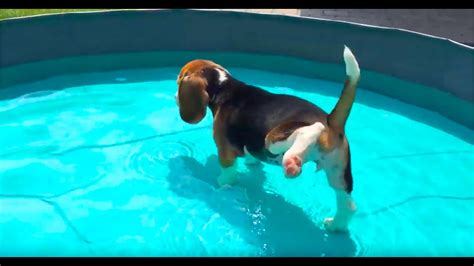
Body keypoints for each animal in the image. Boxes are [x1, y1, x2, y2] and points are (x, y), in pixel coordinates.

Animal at [176, 45, 362, 231]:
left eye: (178, 80)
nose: (175, 97)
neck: (223, 85)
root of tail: (329, 121)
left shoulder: (225, 150)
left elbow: (228, 173)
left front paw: (223, 183)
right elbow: (251, 156)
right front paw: (252, 163)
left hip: (276, 137)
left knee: (307, 132)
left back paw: (292, 161)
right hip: (337, 171)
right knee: (349, 205)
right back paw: (336, 226)